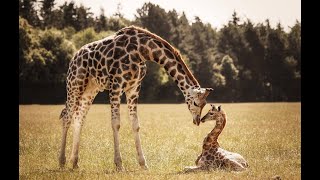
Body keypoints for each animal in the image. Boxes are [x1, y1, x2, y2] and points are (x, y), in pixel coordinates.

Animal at [58, 25, 214, 170]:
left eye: (204, 104)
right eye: (196, 103)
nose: (197, 120)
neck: (142, 51)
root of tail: (73, 58)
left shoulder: (133, 88)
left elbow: (135, 124)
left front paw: (143, 164)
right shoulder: (116, 85)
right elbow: (116, 123)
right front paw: (119, 164)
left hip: (90, 89)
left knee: (79, 118)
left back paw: (75, 162)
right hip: (75, 84)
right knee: (67, 117)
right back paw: (62, 162)